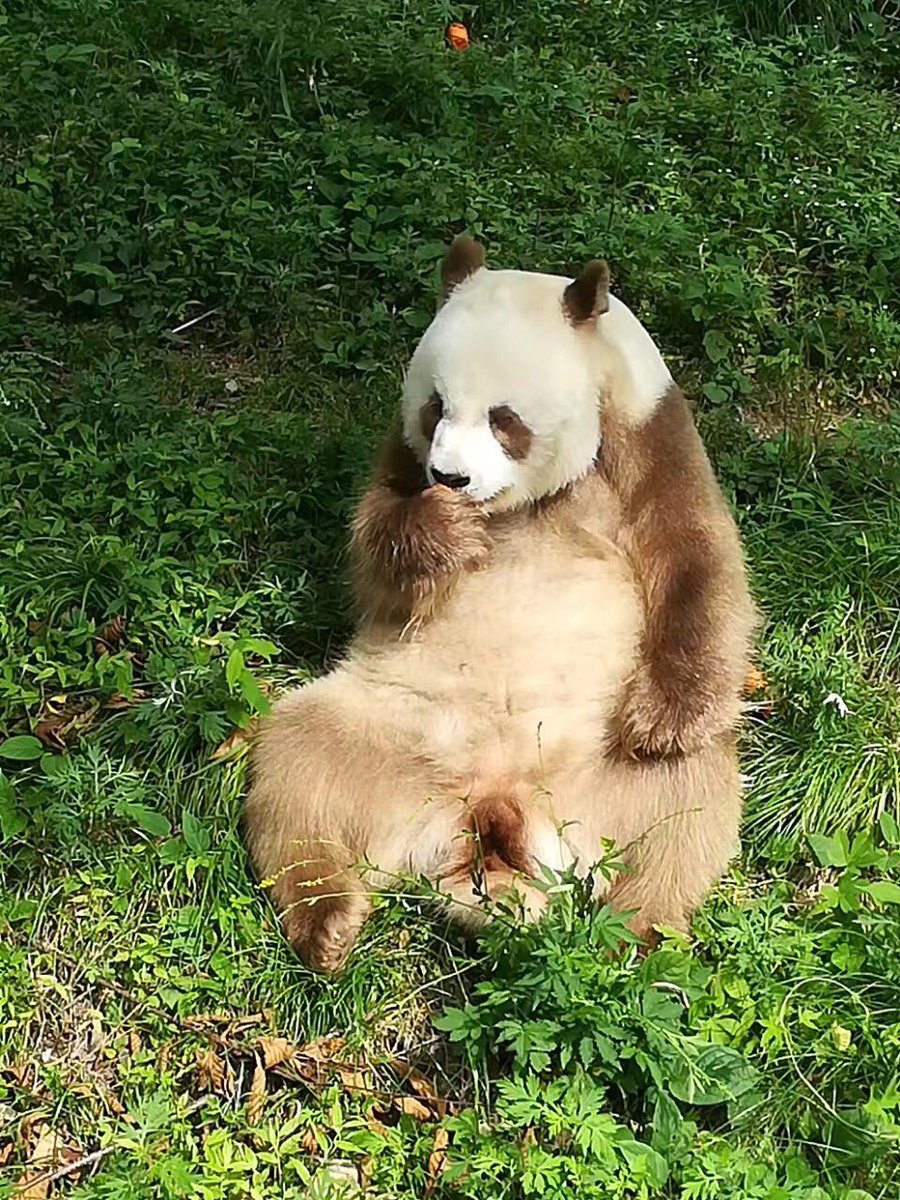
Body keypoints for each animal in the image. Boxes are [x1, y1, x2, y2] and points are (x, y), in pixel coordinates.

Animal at [245, 237, 756, 972]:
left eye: (504, 419)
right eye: (435, 407)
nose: (451, 477)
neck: (520, 504)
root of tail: (490, 809)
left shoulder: (650, 439)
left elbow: (696, 560)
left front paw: (663, 719)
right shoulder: (402, 452)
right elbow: (376, 556)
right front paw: (444, 531)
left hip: (603, 769)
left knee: (682, 808)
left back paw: (638, 932)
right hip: (390, 728)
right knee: (300, 767)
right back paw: (330, 920)